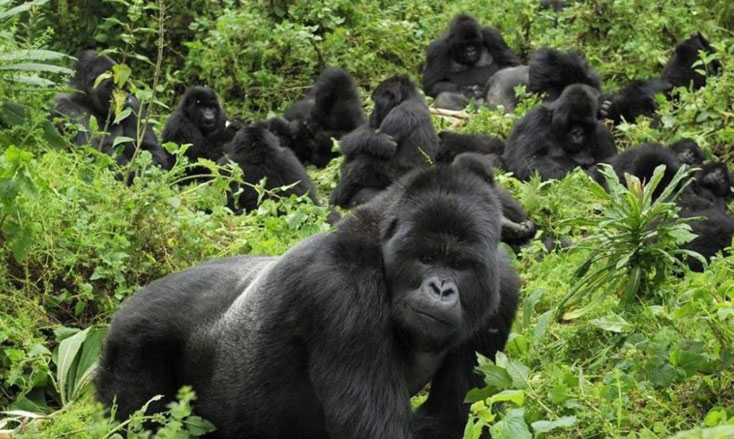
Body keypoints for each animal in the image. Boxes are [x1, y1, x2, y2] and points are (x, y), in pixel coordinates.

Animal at [96, 164, 524, 439]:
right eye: (426, 257)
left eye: (460, 265)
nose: (440, 289)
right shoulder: (342, 292)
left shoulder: (501, 288)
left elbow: (451, 419)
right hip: (131, 342)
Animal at [332, 75, 440, 209]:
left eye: (376, 102)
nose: (372, 114)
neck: (407, 98)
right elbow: (354, 139)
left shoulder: (399, 116)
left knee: (362, 164)